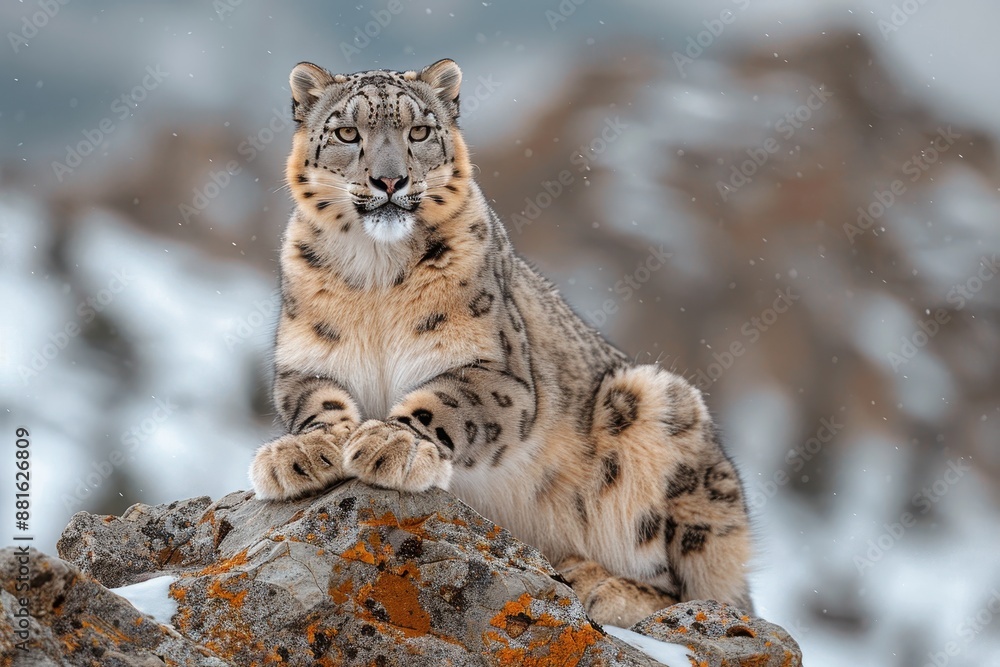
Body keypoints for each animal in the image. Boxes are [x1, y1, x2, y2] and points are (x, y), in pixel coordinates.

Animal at [248, 58, 753, 626]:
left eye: (419, 131)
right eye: (347, 133)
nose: (390, 179)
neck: (376, 276)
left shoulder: (498, 370)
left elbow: (446, 402)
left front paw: (394, 443)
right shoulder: (304, 362)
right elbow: (318, 404)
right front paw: (300, 455)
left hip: (657, 413)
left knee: (693, 592)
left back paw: (599, 585)